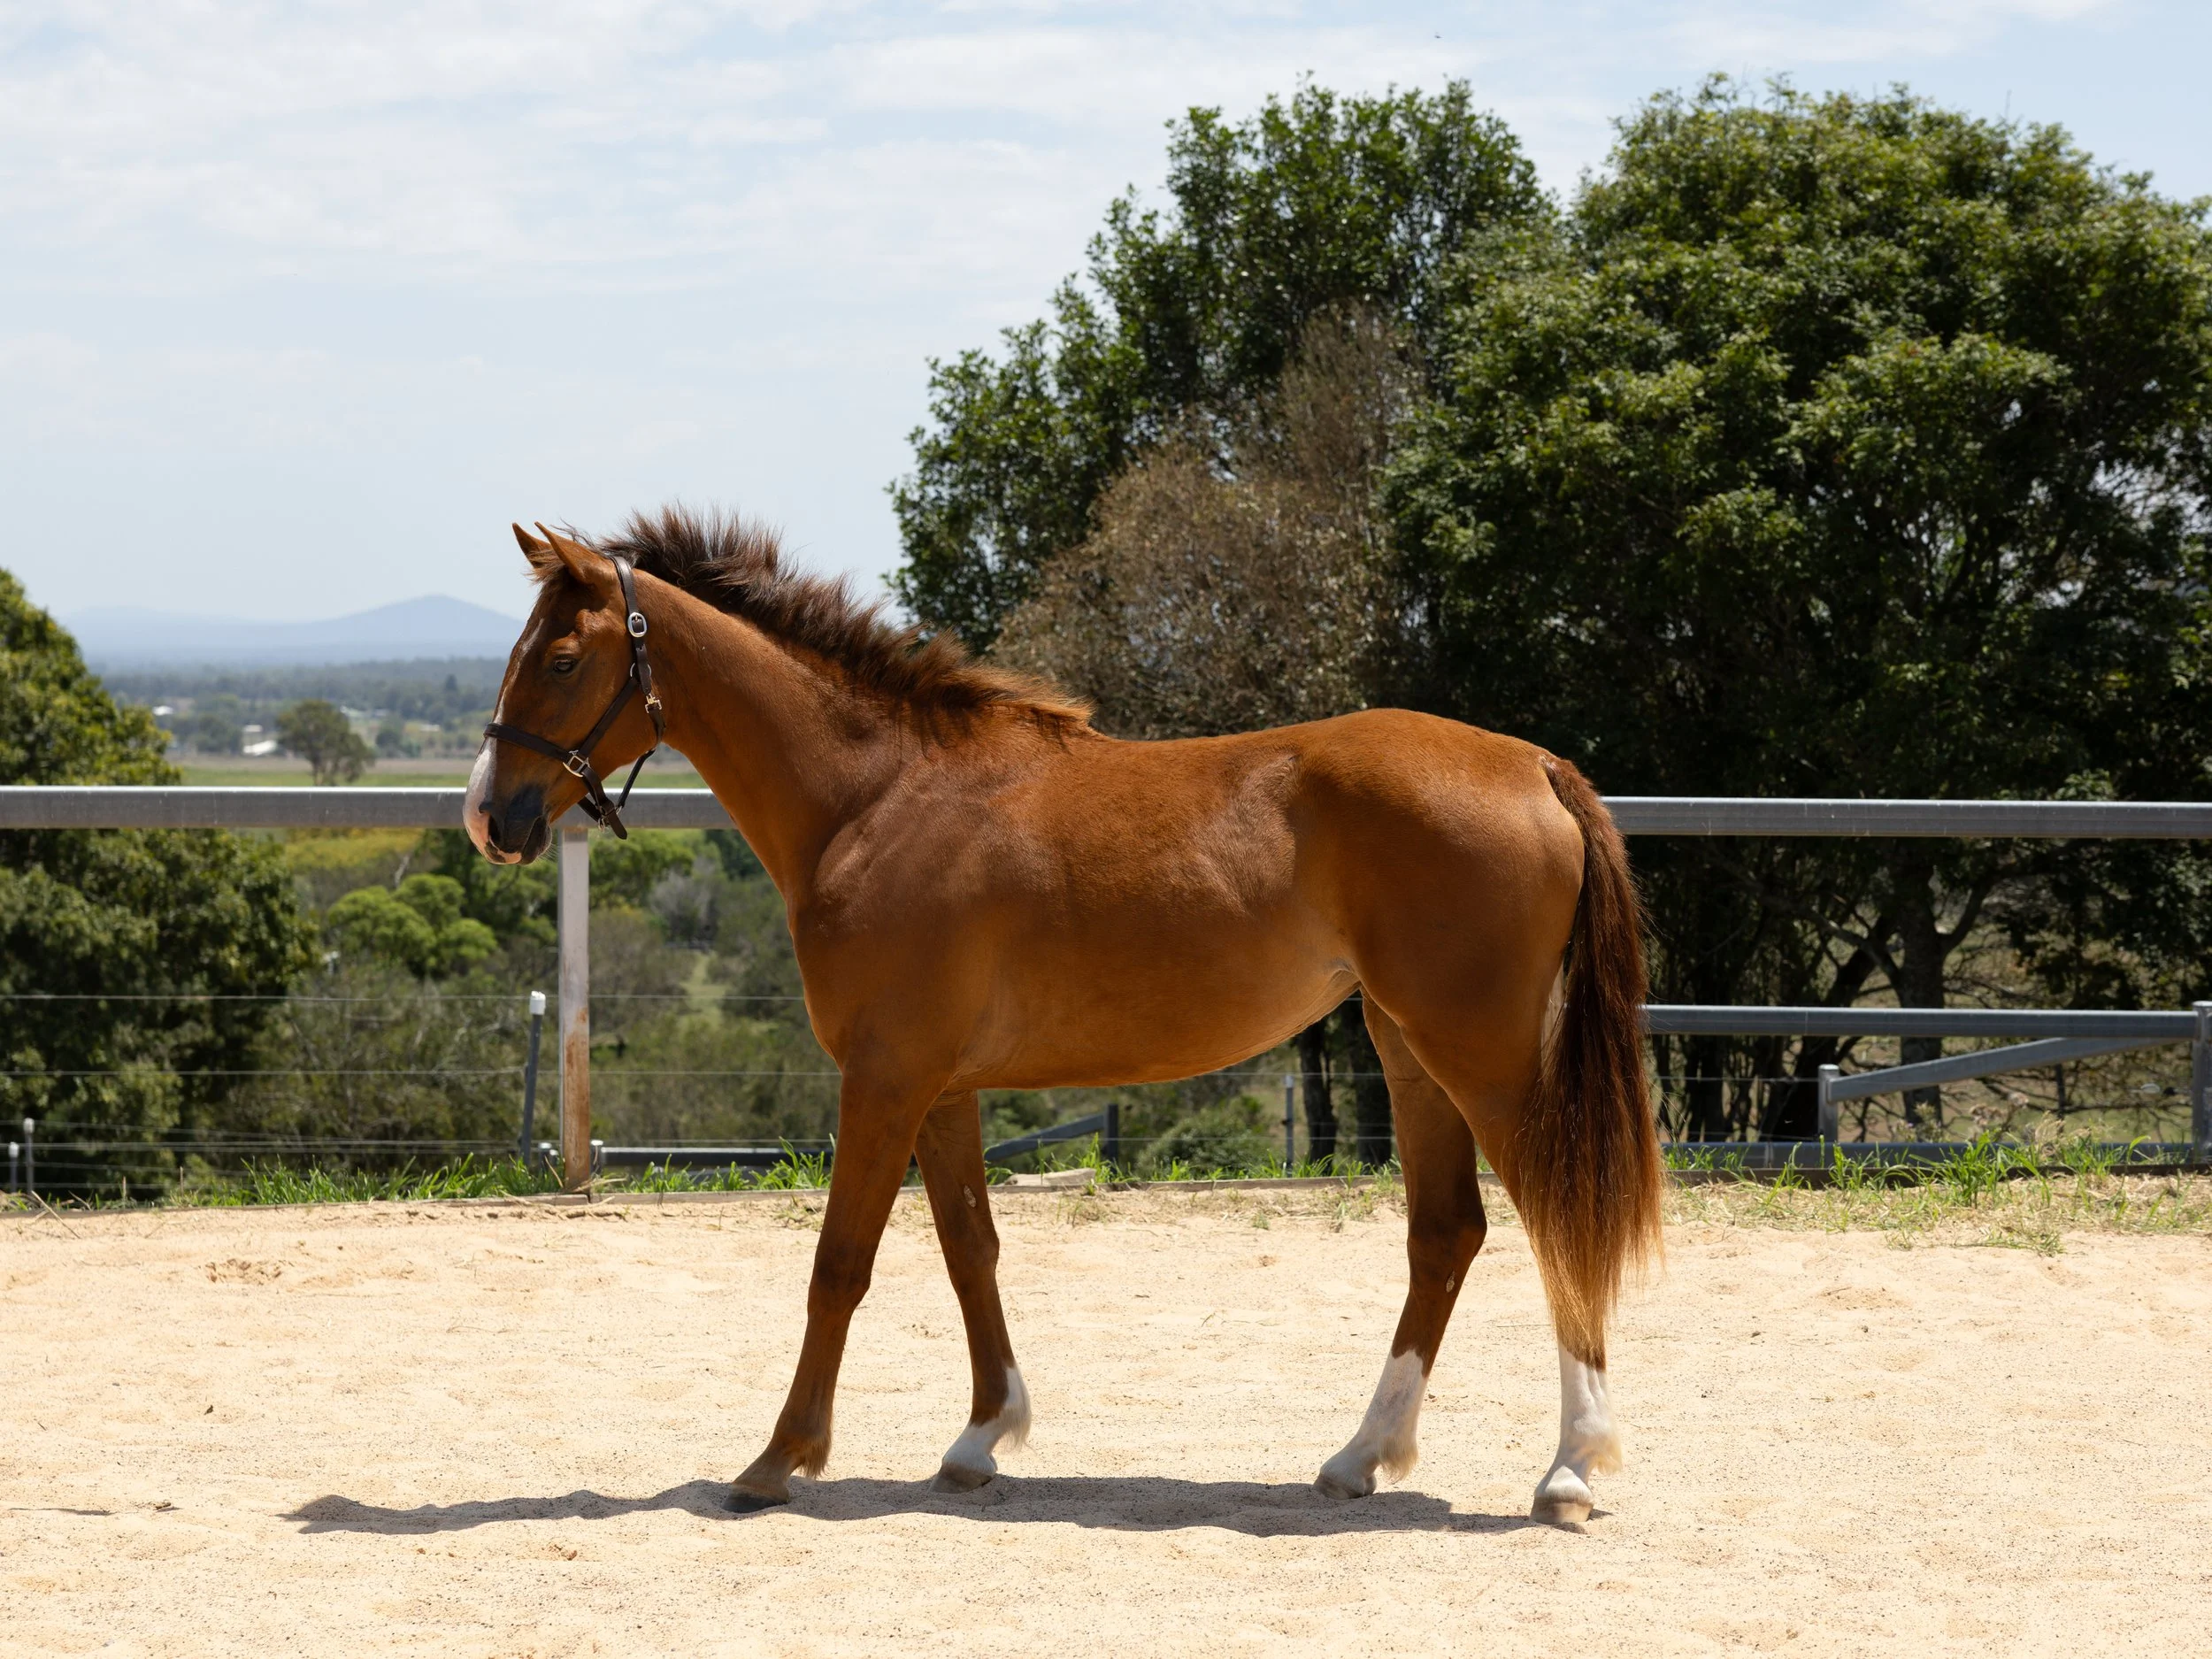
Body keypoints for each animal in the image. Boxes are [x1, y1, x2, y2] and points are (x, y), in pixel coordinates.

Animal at [465, 508, 1663, 1522]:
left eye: (560, 660)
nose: (489, 818)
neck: (877, 798)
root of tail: (1534, 765)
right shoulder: (940, 1088)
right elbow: (970, 1249)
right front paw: (981, 1439)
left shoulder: (884, 1077)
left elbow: (840, 1264)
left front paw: (778, 1459)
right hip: (1407, 1052)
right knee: (1444, 1233)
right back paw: (1359, 1458)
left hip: (1481, 1056)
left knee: (1553, 1221)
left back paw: (1568, 1472)